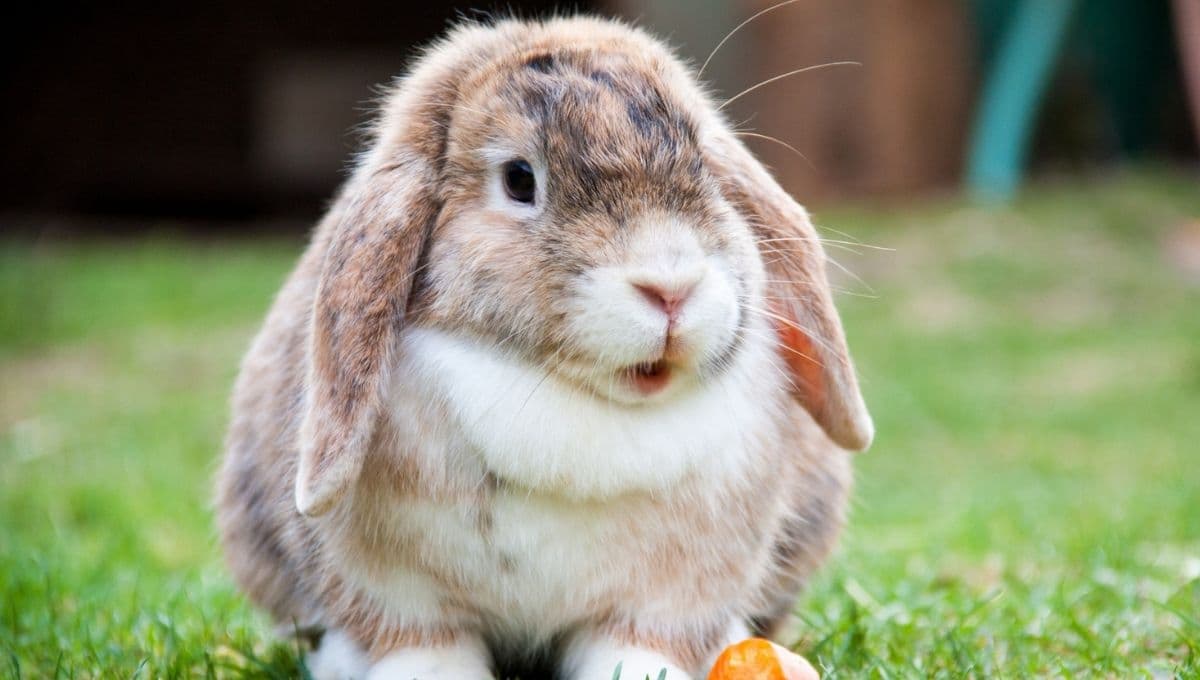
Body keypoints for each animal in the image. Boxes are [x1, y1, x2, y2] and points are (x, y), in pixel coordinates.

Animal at [216, 15, 872, 680]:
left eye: (706, 168)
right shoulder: (400, 597)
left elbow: (637, 645)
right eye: (519, 179)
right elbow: (422, 644)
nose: (671, 287)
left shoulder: (668, 597)